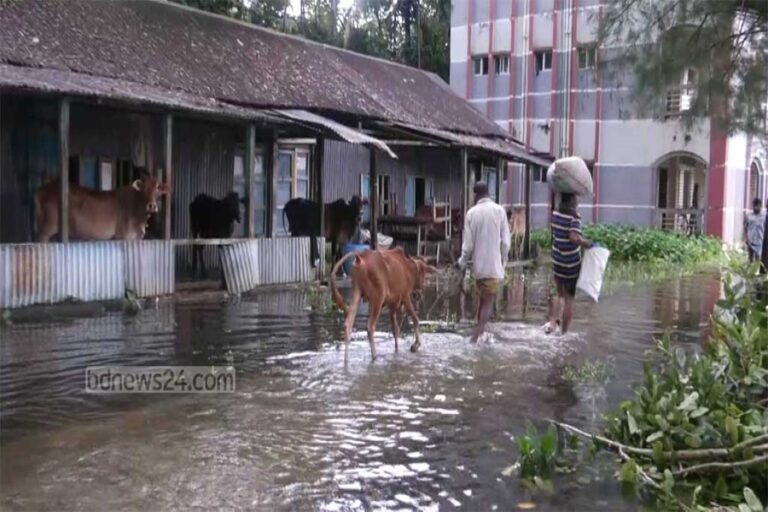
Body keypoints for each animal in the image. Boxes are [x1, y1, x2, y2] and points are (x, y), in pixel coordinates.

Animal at [35, 174, 171, 242]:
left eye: (158, 188)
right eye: (143, 188)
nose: (151, 205)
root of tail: (43, 188)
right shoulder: (123, 236)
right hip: (47, 228)